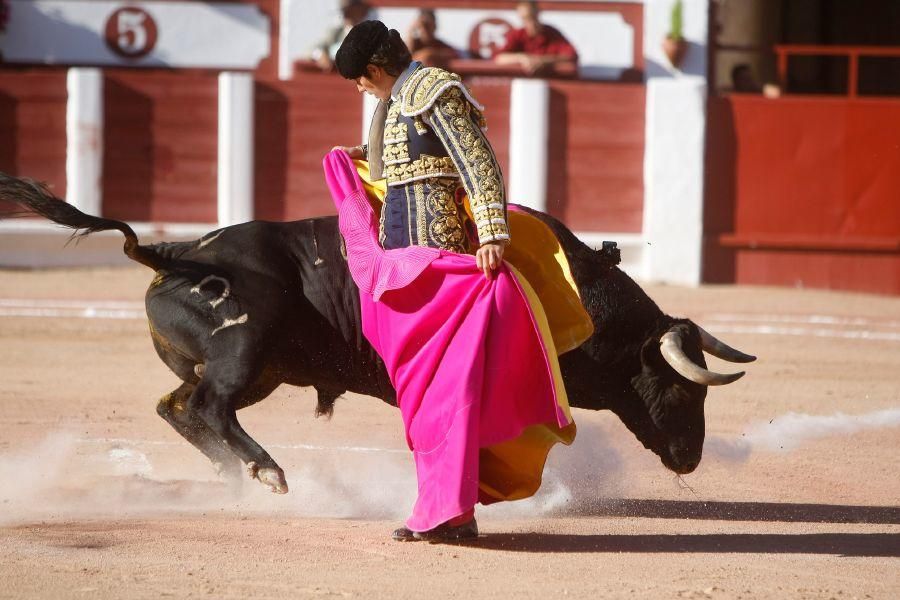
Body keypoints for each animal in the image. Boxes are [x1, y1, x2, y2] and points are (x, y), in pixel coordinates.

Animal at [1, 175, 752, 496]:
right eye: (683, 392)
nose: (689, 458)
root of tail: (174, 252)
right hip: (247, 348)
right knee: (209, 407)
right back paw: (267, 472)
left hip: (257, 368)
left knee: (178, 407)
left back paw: (232, 474)